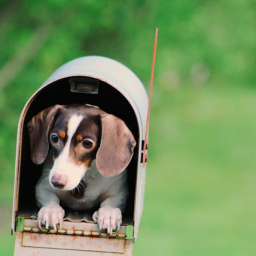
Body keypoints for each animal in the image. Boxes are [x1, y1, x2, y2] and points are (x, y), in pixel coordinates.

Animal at [27, 104, 136, 234]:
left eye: (87, 143)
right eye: (54, 138)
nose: (56, 182)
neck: (86, 175)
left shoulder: (119, 193)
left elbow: (110, 202)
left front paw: (109, 214)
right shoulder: (42, 187)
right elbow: (50, 198)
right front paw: (50, 211)